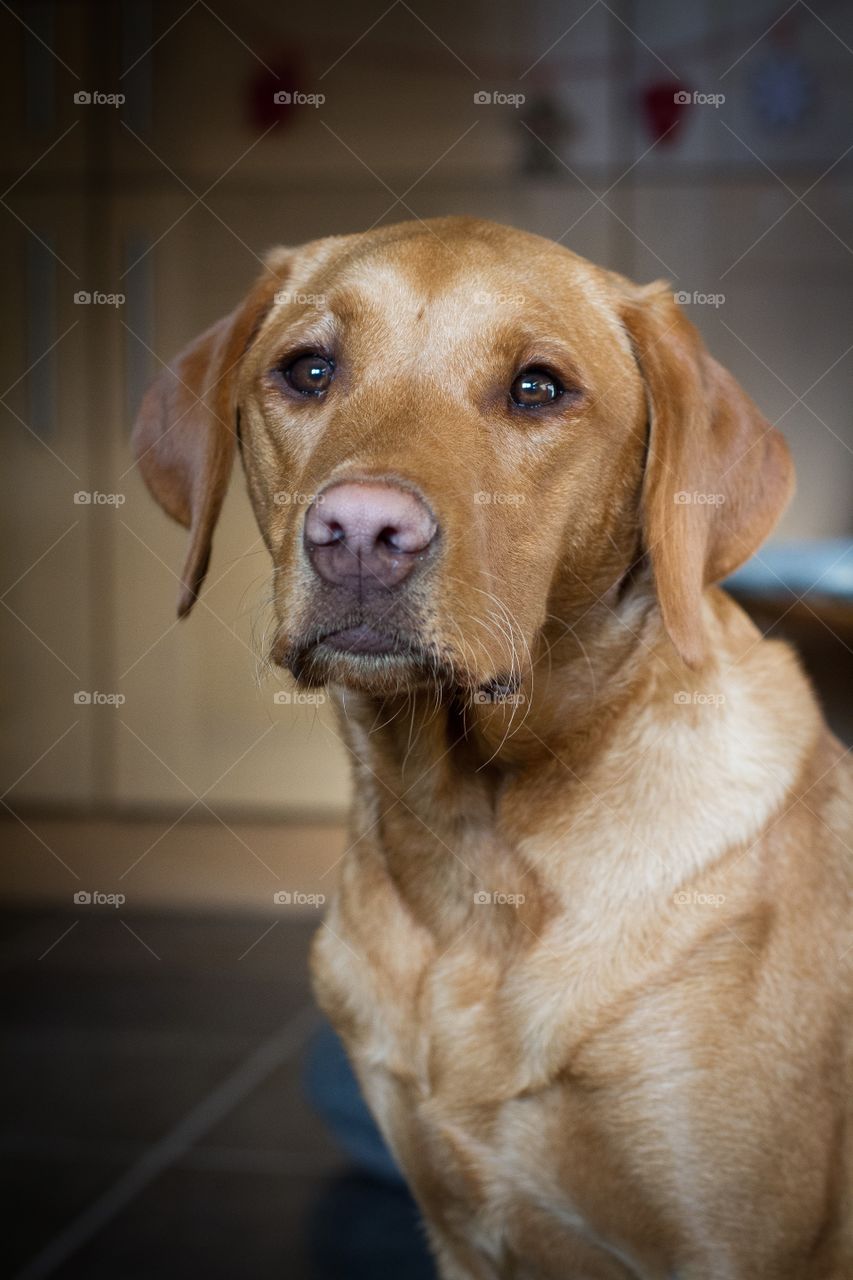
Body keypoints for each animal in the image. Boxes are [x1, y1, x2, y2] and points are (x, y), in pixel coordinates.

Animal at [134, 215, 850, 1274]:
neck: (471, 851)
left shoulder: (737, 1247)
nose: (359, 532)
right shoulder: (460, 1230)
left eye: (536, 389)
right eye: (308, 371)